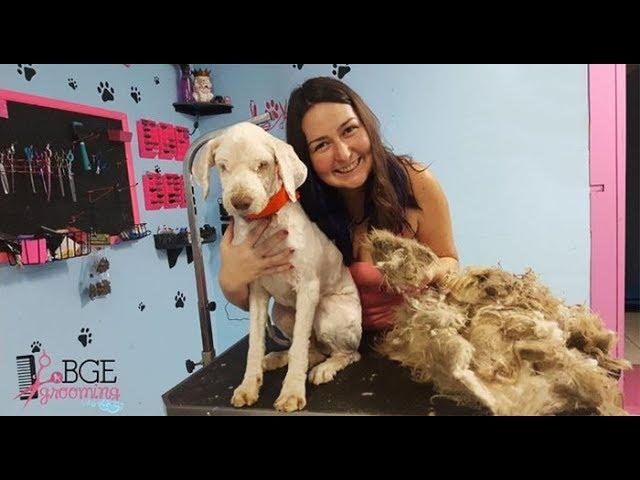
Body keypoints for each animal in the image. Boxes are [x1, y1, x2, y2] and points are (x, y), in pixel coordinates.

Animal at [190, 123, 362, 412]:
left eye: (262, 165)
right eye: (223, 166)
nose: (240, 202)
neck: (266, 222)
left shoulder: (307, 288)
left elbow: (300, 347)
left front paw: (292, 392)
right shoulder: (257, 293)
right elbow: (254, 345)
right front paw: (248, 386)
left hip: (328, 310)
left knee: (346, 353)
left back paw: (326, 368)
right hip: (282, 312)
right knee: (312, 349)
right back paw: (278, 358)